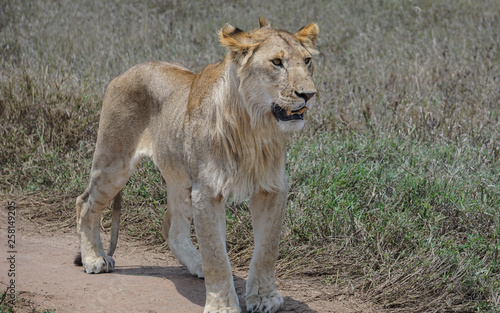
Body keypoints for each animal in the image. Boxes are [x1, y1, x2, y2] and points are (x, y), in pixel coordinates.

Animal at [76, 17, 318, 312]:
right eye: (276, 62)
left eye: (307, 61)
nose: (308, 94)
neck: (253, 127)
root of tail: (129, 70)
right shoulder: (207, 191)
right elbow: (216, 254)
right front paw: (223, 305)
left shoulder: (271, 189)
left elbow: (267, 249)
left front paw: (264, 298)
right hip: (114, 162)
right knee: (85, 202)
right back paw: (94, 258)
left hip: (179, 178)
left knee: (172, 229)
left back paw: (195, 263)